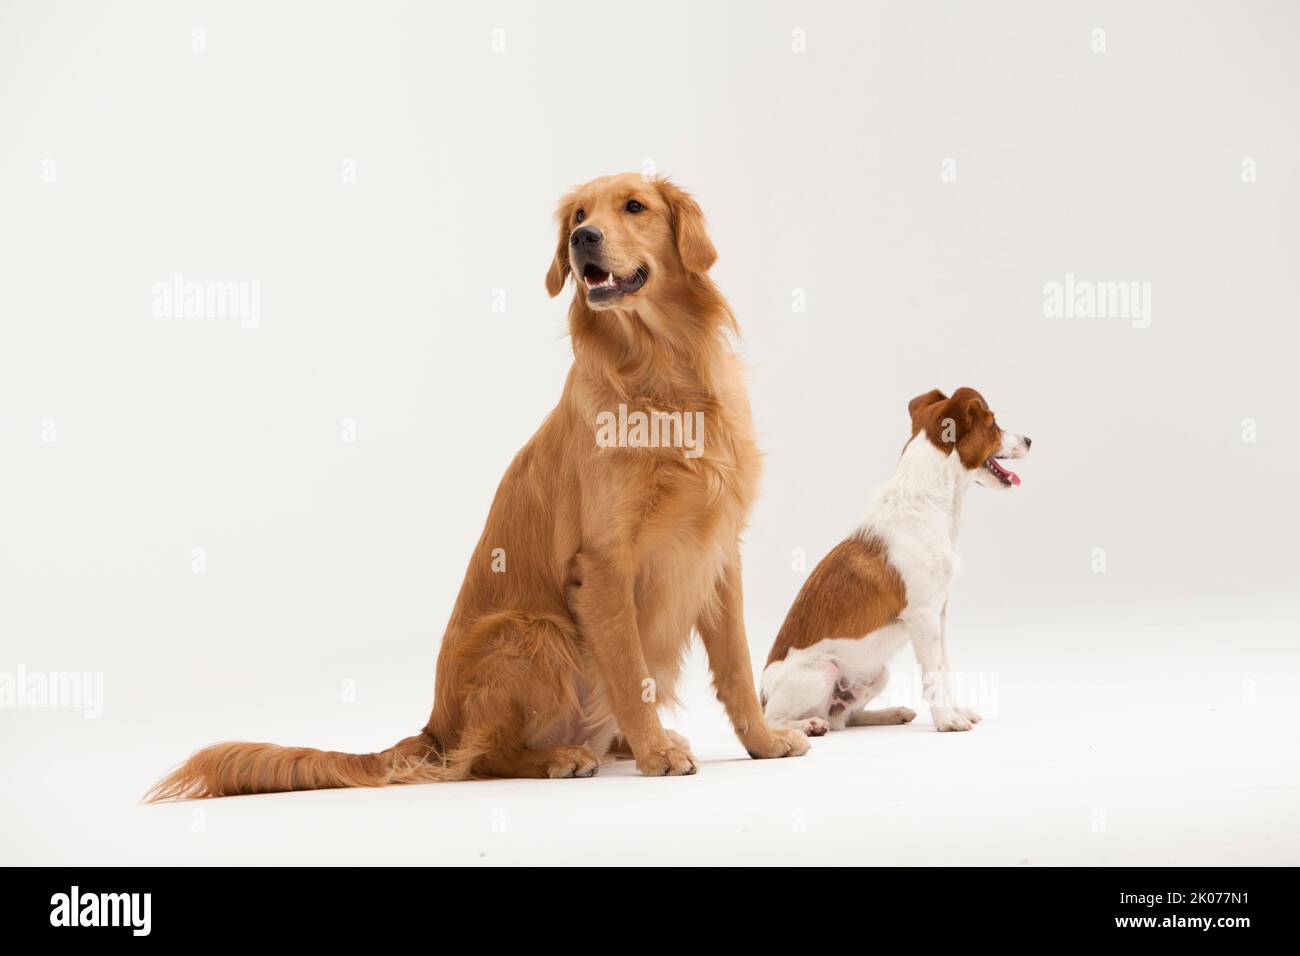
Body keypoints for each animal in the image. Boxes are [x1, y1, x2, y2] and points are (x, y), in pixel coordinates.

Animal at [759, 385, 1024, 738]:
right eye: (994, 424)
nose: (1030, 440)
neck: (927, 502)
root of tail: (761, 695)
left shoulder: (939, 614)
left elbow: (945, 669)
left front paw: (956, 711)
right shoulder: (923, 616)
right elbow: (933, 674)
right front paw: (946, 720)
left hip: (877, 672)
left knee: (846, 718)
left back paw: (890, 713)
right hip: (821, 670)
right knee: (776, 720)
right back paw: (807, 725)